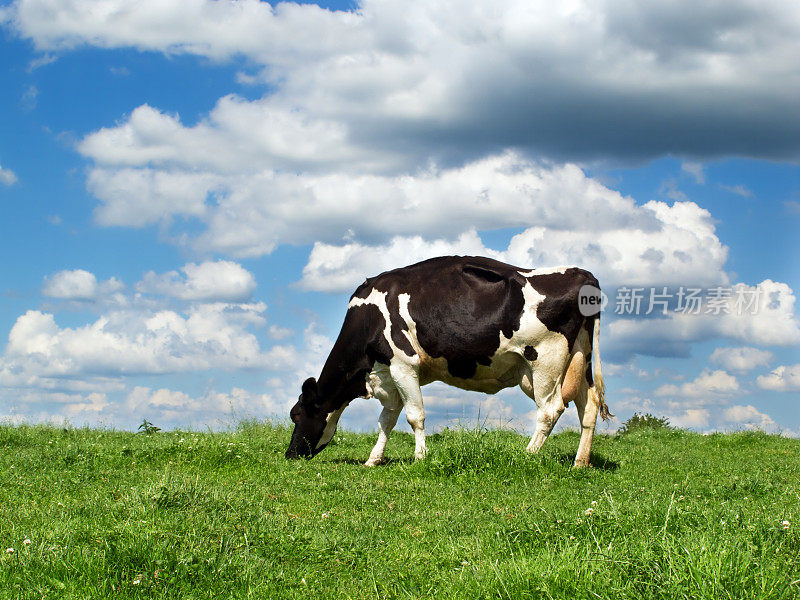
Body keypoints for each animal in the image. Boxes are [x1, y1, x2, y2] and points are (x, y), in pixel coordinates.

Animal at [284, 255, 608, 466]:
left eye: (296, 415)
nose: (289, 455)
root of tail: (582, 274)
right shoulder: (389, 374)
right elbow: (386, 420)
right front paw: (373, 460)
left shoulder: (404, 365)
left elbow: (414, 416)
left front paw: (420, 458)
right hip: (579, 360)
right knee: (588, 406)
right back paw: (580, 462)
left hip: (545, 360)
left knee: (550, 409)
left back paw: (527, 455)